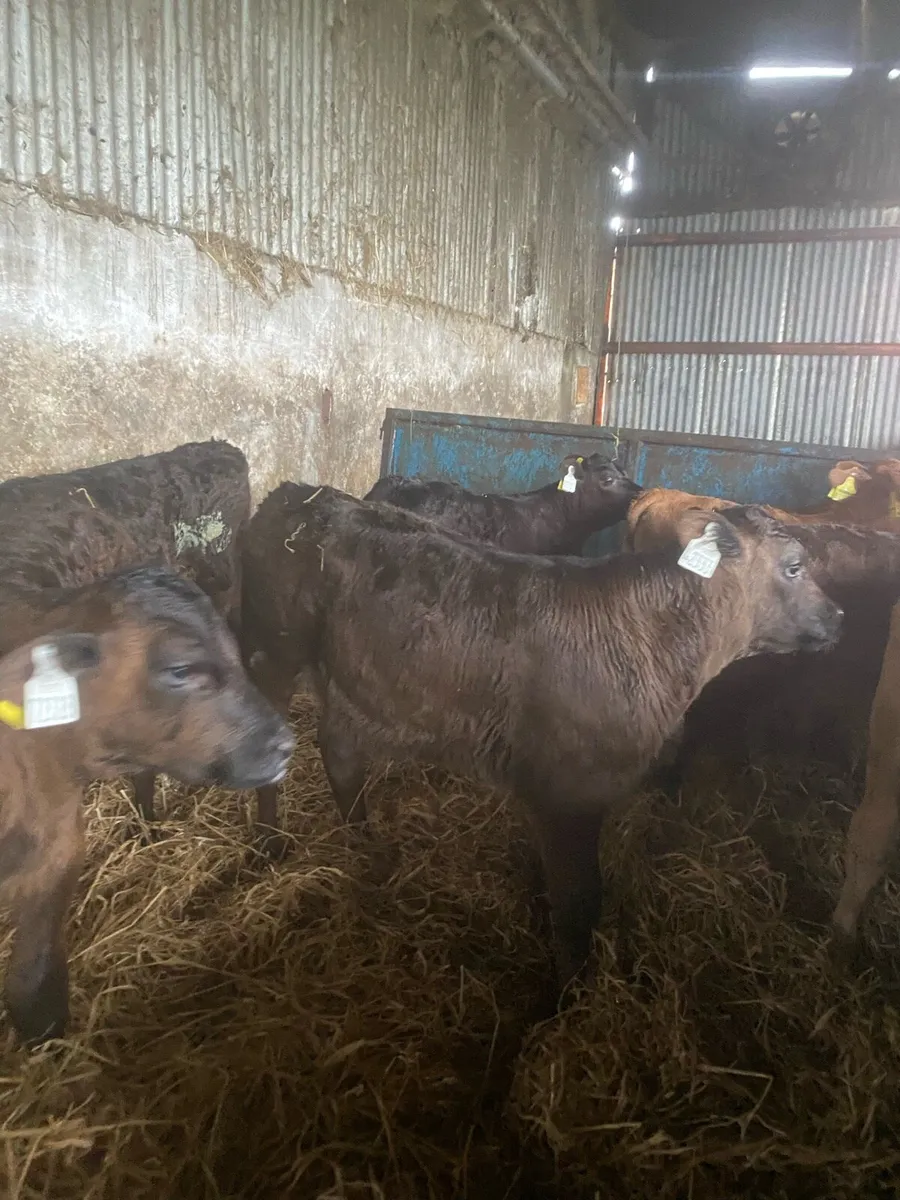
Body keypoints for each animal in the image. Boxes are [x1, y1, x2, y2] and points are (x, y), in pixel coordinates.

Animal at [242, 483, 841, 987]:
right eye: (794, 566)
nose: (839, 615)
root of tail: (301, 494)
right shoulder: (569, 794)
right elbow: (579, 901)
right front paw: (567, 997)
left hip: (350, 676)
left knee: (341, 754)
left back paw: (370, 852)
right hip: (272, 648)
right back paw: (268, 843)